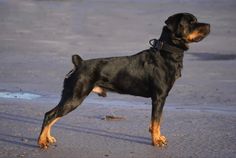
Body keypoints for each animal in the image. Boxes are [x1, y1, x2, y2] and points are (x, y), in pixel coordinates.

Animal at [37, 12, 209, 149]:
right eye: (191, 22)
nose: (209, 25)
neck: (166, 52)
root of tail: (79, 63)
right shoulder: (159, 98)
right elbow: (156, 122)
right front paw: (156, 141)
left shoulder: (159, 99)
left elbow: (156, 123)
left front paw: (158, 137)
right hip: (75, 97)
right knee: (50, 115)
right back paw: (41, 142)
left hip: (71, 97)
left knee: (53, 116)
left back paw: (48, 138)